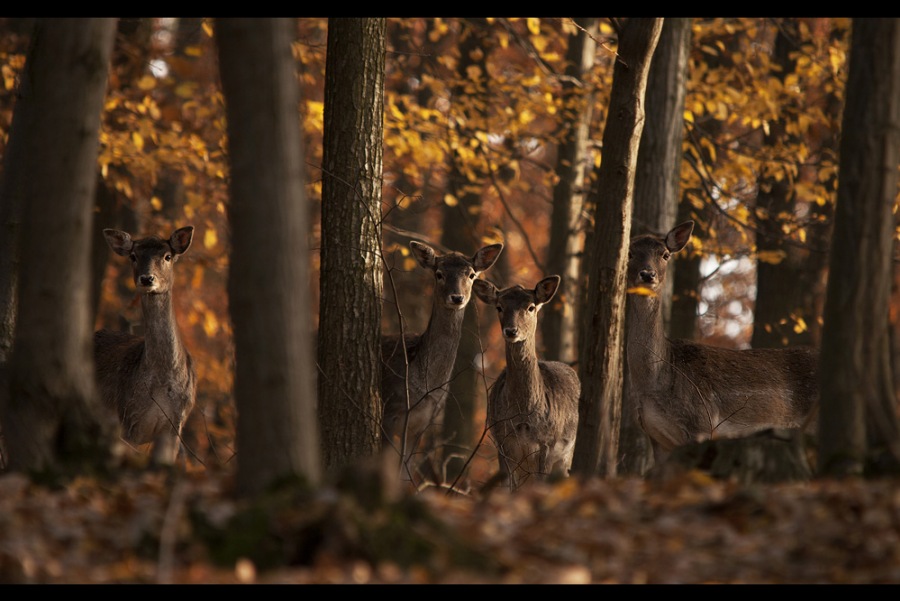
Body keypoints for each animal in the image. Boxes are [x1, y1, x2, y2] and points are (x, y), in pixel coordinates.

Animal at [381, 240, 503, 473]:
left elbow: (405, 471)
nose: (457, 297)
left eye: (471, 274)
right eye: (439, 274)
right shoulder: (389, 411)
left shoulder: (422, 423)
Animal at [473, 275, 581, 491]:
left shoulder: (548, 442)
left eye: (531, 307)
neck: (523, 416)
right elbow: (508, 489)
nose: (511, 331)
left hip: (567, 453)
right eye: (499, 307)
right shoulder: (502, 440)